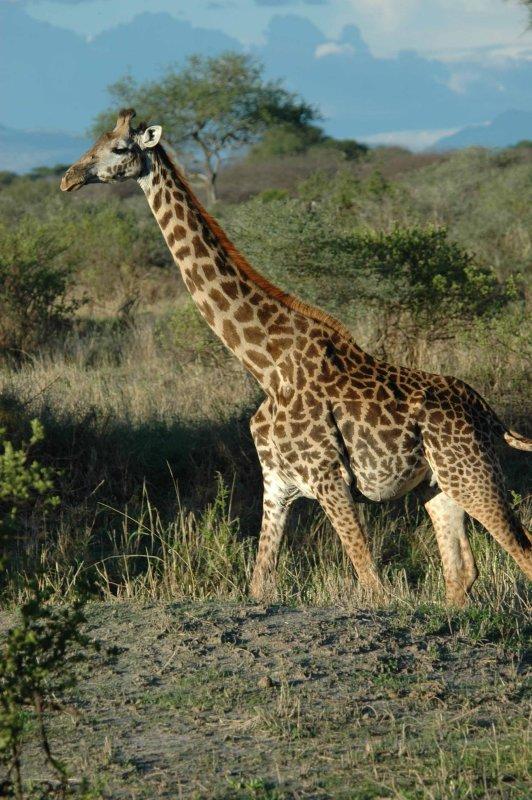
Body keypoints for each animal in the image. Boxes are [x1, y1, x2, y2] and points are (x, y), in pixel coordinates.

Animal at [61, 108, 532, 608]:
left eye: (119, 148)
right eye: (94, 141)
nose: (69, 178)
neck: (266, 366)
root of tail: (488, 412)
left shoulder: (330, 479)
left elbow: (372, 583)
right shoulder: (276, 484)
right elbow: (258, 584)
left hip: (475, 474)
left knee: (521, 553)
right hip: (440, 485)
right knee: (460, 572)